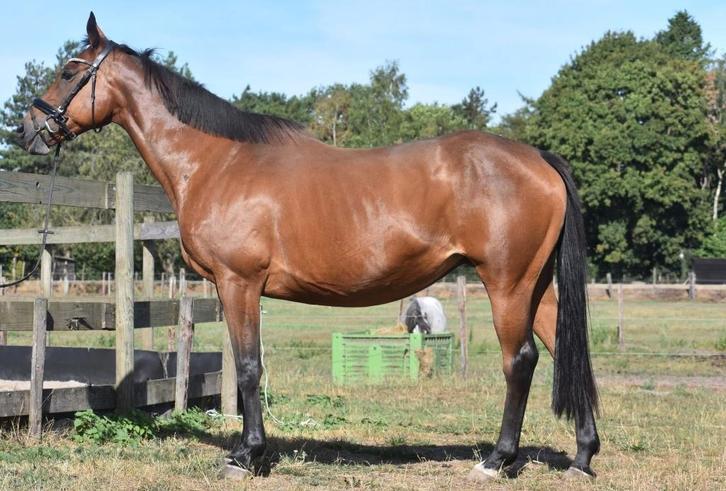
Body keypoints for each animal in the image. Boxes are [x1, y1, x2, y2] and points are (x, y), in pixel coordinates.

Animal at [17, 13, 600, 482]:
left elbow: (248, 366)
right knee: (561, 351)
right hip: (536, 287)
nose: (28, 127)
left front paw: (246, 455)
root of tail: (538, 158)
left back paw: (497, 460)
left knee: (520, 361)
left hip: (507, 283)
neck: (216, 162)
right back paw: (581, 457)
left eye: (68, 70)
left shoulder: (239, 283)